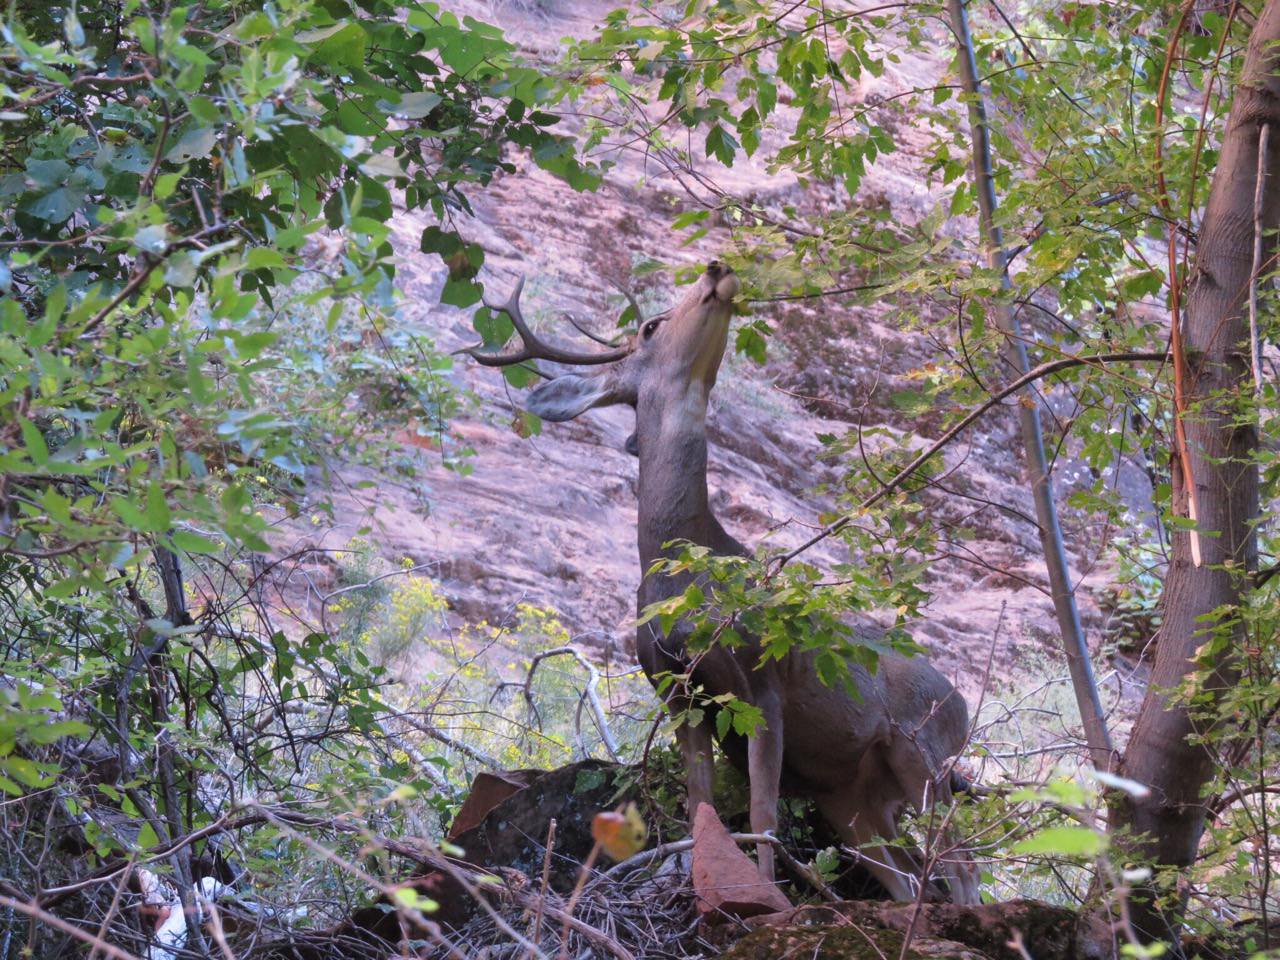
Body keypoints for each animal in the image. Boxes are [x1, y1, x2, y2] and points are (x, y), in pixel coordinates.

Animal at [465, 261, 972, 901]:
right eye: (653, 327)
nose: (718, 267)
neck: (683, 571)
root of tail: (962, 703)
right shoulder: (677, 692)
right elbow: (701, 801)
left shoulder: (762, 682)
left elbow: (762, 811)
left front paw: (767, 897)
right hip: (855, 795)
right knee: (904, 872)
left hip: (927, 751)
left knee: (960, 863)